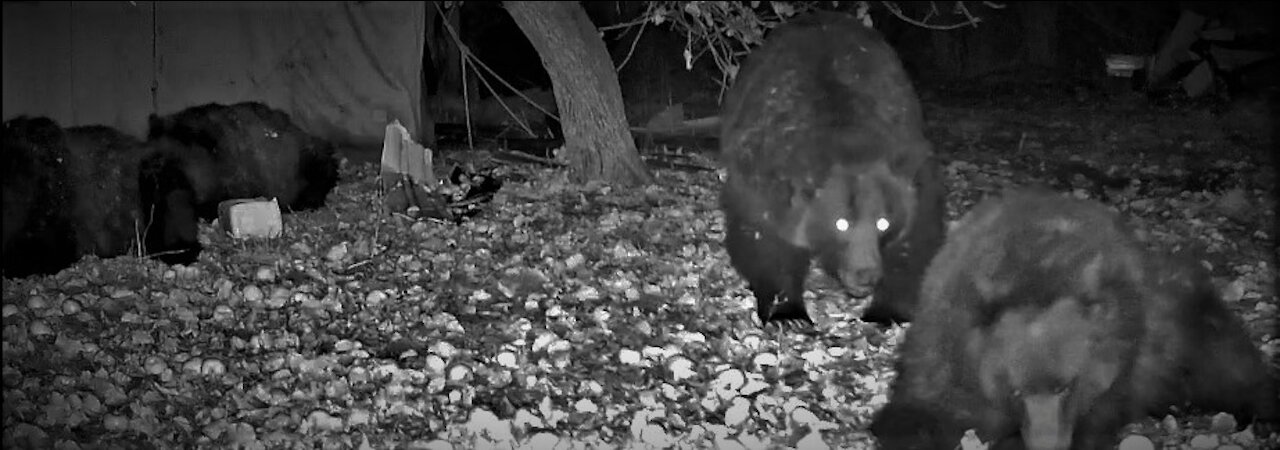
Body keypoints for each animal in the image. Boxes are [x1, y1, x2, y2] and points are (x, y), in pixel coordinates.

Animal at [721, 11, 952, 327]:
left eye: (883, 222)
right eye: (841, 223)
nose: (865, 276)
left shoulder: (913, 165)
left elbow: (917, 236)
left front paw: (887, 309)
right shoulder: (761, 172)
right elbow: (763, 239)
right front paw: (787, 311)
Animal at [870, 189, 1280, 450]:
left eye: (1065, 386)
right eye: (1016, 391)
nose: (1047, 444)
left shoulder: (1124, 359)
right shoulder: (943, 348)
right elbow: (915, 411)